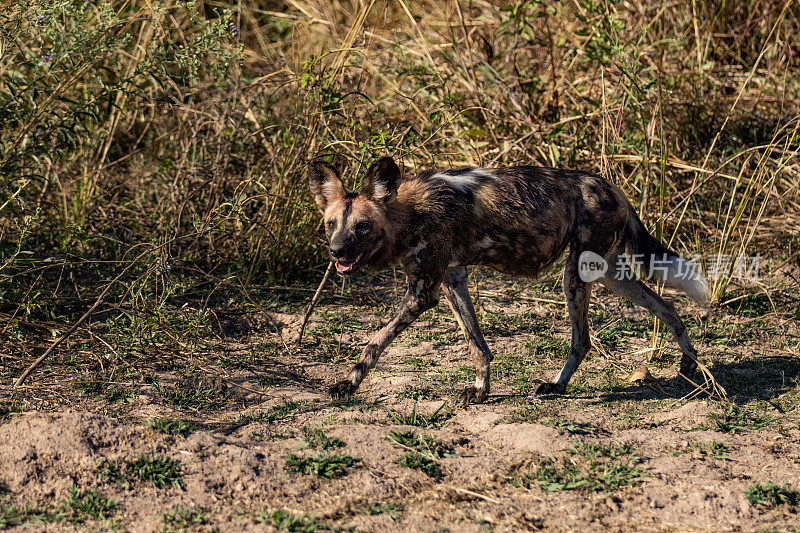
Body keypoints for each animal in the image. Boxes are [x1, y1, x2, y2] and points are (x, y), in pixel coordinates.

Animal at [306, 156, 708, 402]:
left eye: (362, 226)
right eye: (331, 224)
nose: (336, 252)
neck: (409, 212)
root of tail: (613, 188)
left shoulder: (423, 293)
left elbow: (374, 343)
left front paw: (348, 383)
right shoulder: (452, 280)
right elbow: (477, 344)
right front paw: (481, 390)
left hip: (576, 274)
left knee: (583, 340)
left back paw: (558, 386)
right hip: (607, 274)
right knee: (666, 308)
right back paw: (688, 363)